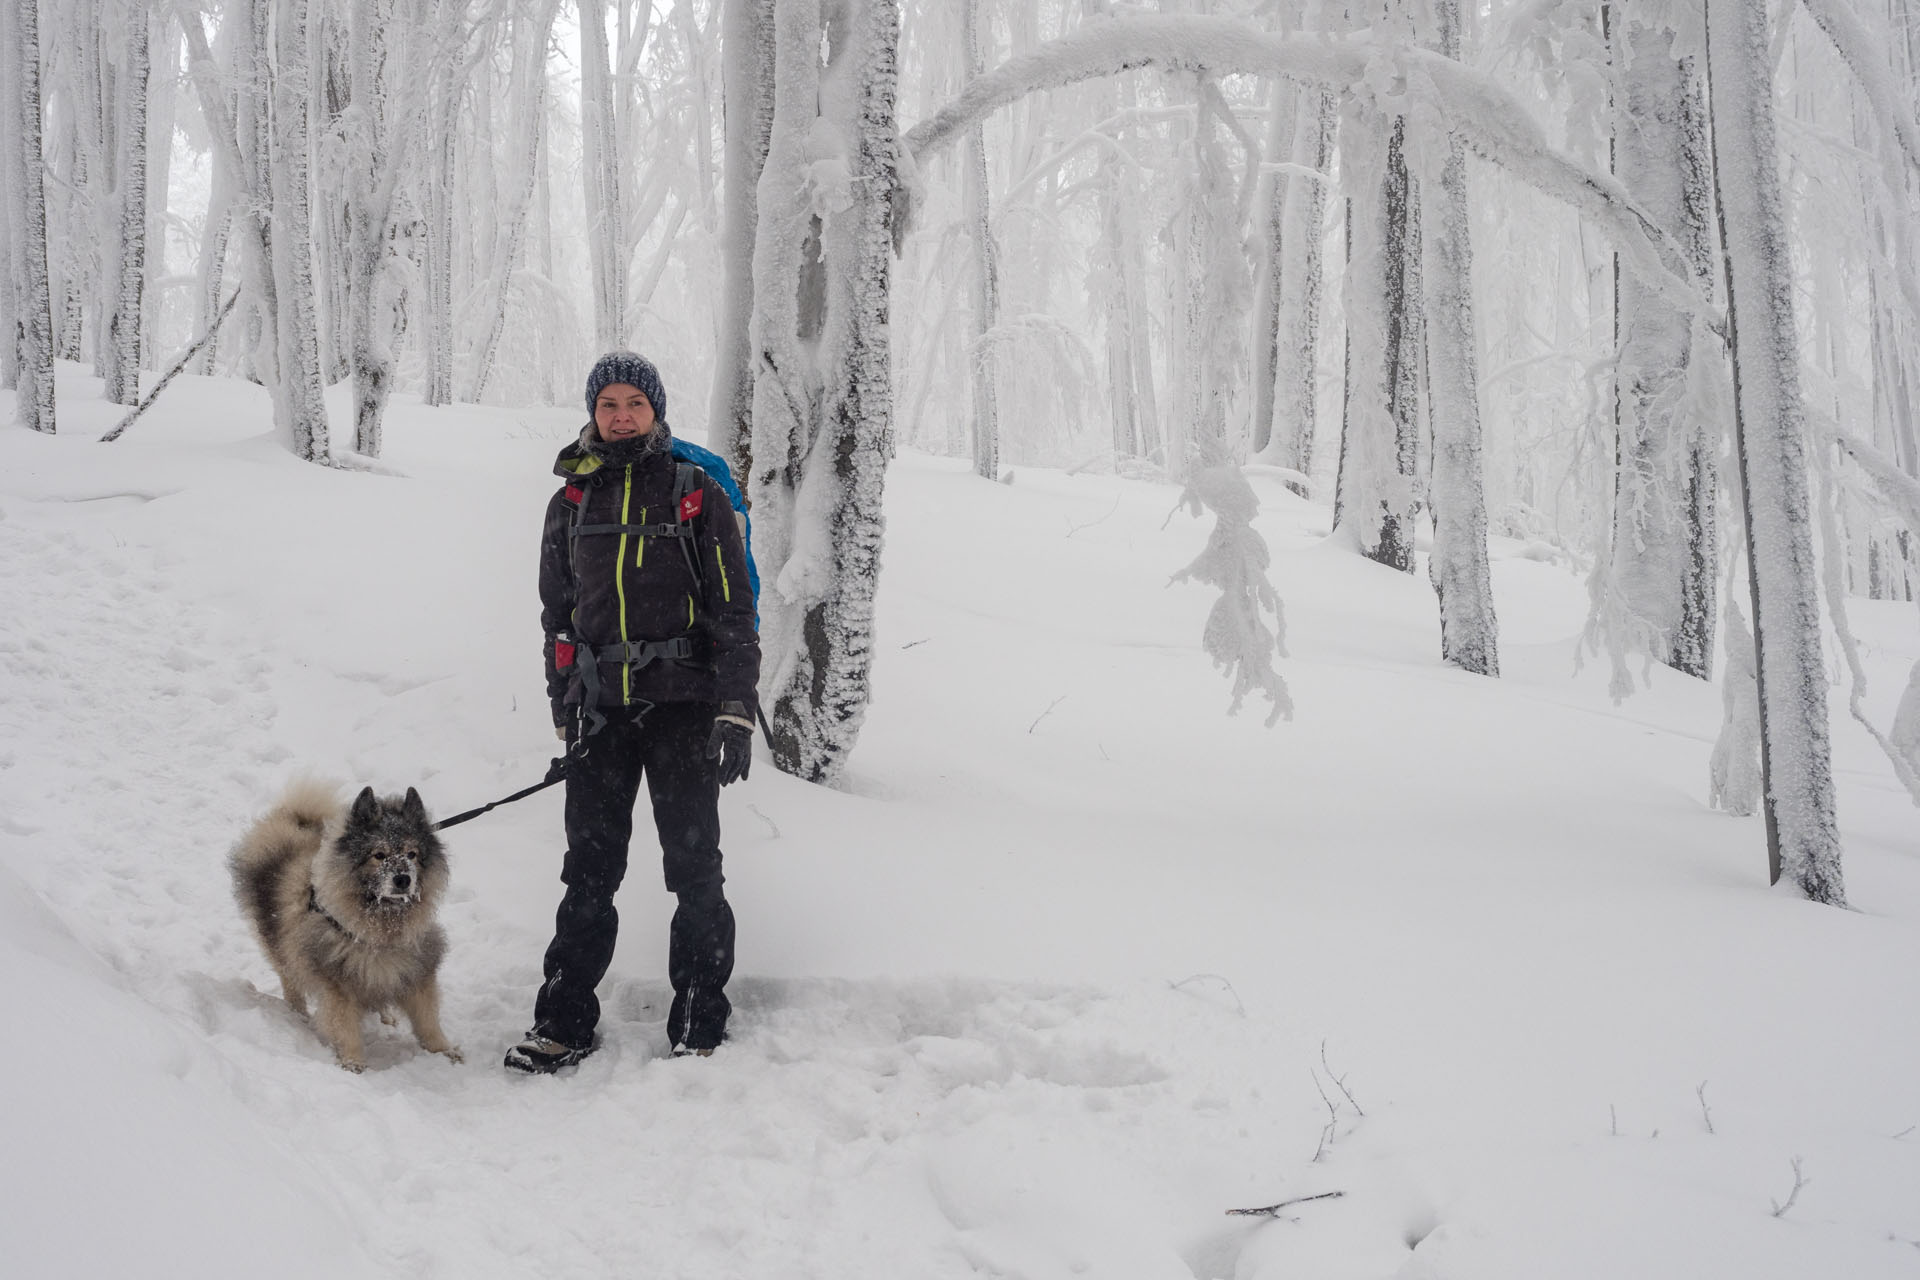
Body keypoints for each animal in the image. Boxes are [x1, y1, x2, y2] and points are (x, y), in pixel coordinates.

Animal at [227, 782, 456, 1074]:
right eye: (379, 855)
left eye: (411, 854)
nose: (403, 879)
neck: (378, 930)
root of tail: (295, 822)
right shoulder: (338, 984)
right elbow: (344, 1026)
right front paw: (353, 1062)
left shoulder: (416, 969)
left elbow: (427, 1019)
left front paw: (444, 1050)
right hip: (280, 946)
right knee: (290, 981)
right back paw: (296, 1015)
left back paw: (387, 1016)